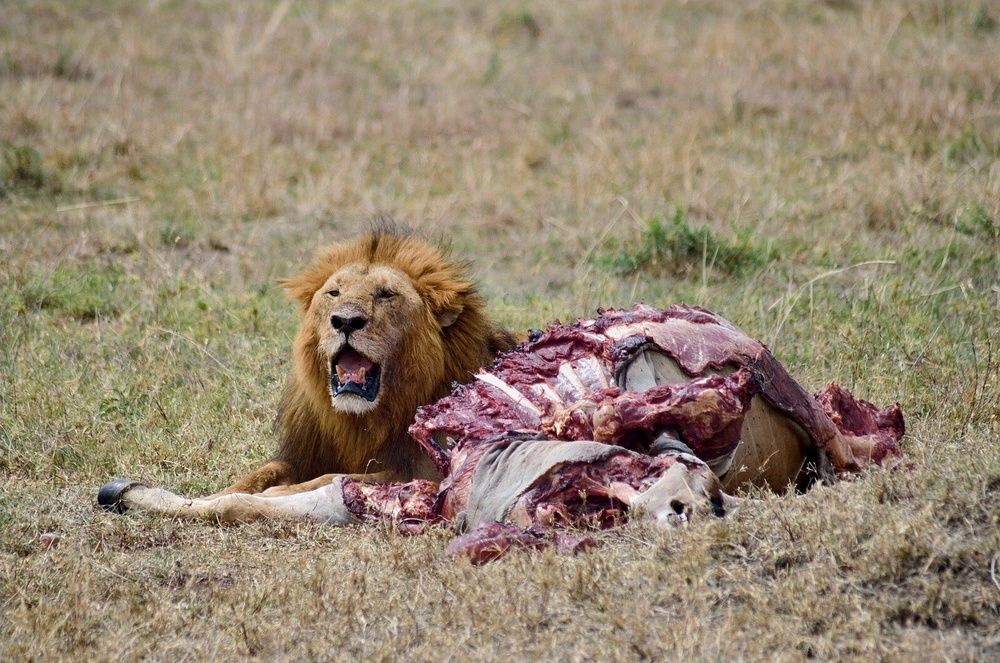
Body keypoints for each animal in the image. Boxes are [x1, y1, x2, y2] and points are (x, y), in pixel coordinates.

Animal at [217, 223, 518, 497]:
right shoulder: (302, 456)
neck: (360, 422)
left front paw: (275, 494)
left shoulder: (424, 472)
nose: (346, 321)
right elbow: (264, 471)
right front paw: (217, 497)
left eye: (386, 294)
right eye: (334, 293)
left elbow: (333, 478)